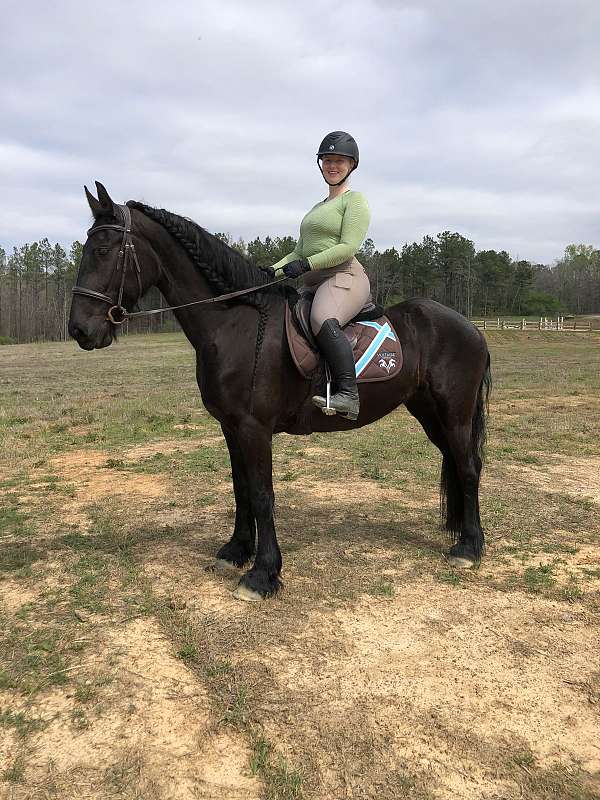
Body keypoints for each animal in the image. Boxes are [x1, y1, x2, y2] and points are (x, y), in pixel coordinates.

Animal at [69, 182, 491, 602]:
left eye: (103, 251)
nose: (80, 330)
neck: (233, 324)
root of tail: (470, 327)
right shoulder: (231, 427)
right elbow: (240, 489)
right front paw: (236, 551)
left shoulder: (254, 428)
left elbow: (262, 495)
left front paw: (262, 574)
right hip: (428, 412)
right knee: (457, 462)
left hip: (454, 413)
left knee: (469, 467)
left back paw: (469, 548)